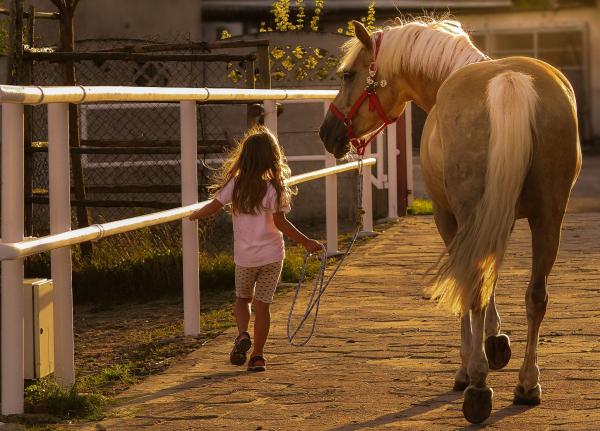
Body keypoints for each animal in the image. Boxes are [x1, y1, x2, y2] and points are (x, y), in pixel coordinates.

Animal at [318, 17, 580, 426]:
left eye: (348, 75)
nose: (328, 132)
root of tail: (510, 82)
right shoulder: (499, 216)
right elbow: (492, 278)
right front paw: (495, 341)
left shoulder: (449, 218)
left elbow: (469, 285)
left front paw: (470, 363)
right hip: (550, 216)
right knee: (536, 295)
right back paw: (527, 384)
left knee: (472, 287)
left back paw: (477, 387)